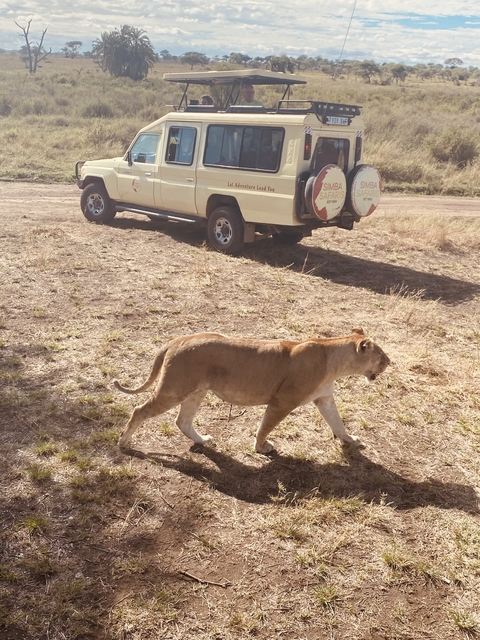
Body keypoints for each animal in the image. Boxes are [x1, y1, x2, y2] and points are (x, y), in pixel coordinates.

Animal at [114, 328, 390, 454]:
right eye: (380, 354)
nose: (390, 362)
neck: (333, 360)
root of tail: (177, 340)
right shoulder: (282, 401)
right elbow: (265, 426)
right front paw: (261, 447)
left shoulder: (324, 398)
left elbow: (338, 423)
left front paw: (350, 440)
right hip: (174, 389)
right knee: (139, 410)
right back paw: (124, 442)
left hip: (196, 392)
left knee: (182, 421)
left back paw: (203, 440)